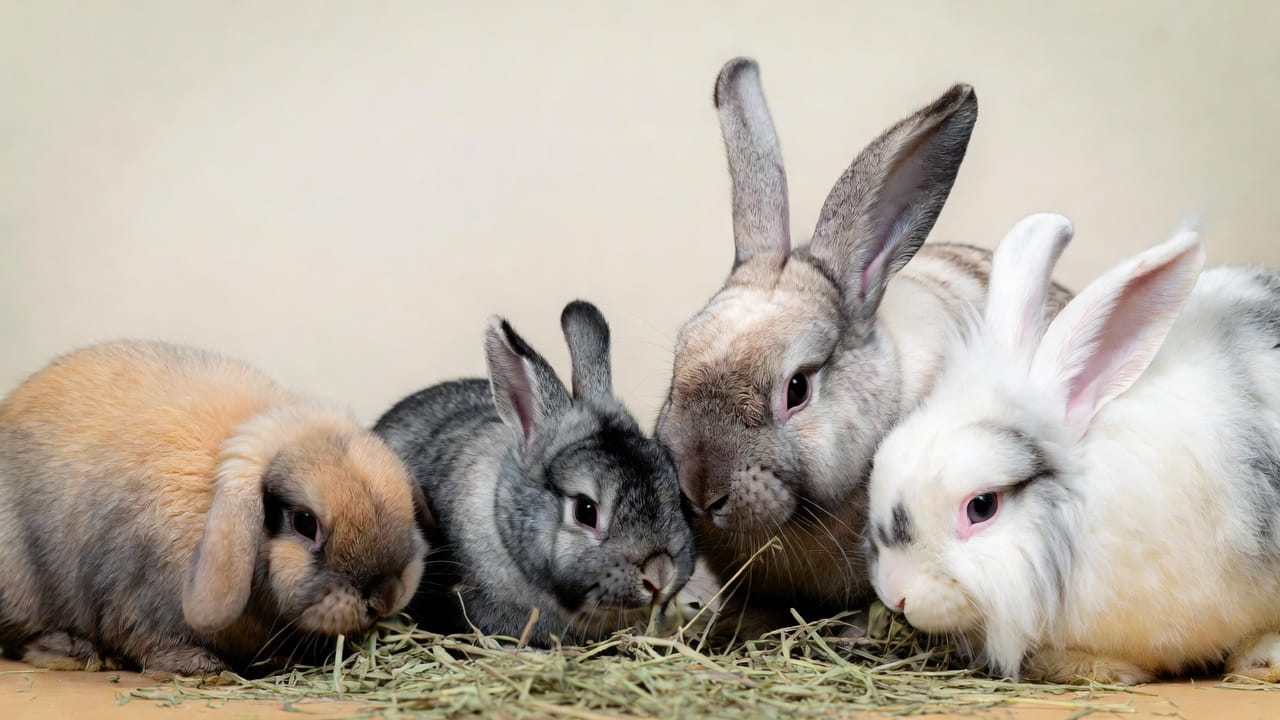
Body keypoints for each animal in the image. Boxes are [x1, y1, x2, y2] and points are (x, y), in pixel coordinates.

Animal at [0, 340, 430, 677]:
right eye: (305, 523)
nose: (383, 598)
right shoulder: (138, 599)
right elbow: (147, 639)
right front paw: (202, 668)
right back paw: (73, 652)